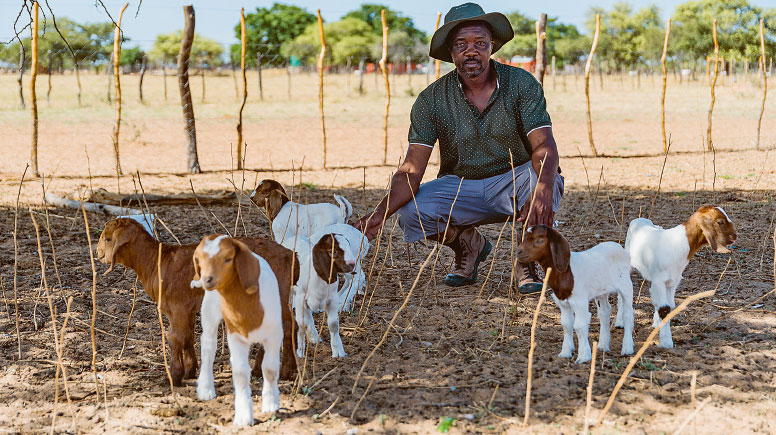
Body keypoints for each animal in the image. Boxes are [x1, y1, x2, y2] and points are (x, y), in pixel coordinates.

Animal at [97, 220, 298, 386]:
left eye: (108, 239)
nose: (98, 254)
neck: (156, 262)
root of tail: (290, 255)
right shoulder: (186, 308)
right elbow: (187, 336)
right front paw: (190, 371)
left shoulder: (177, 306)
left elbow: (175, 337)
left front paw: (174, 376)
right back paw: (263, 369)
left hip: (274, 293)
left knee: (287, 325)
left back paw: (285, 371)